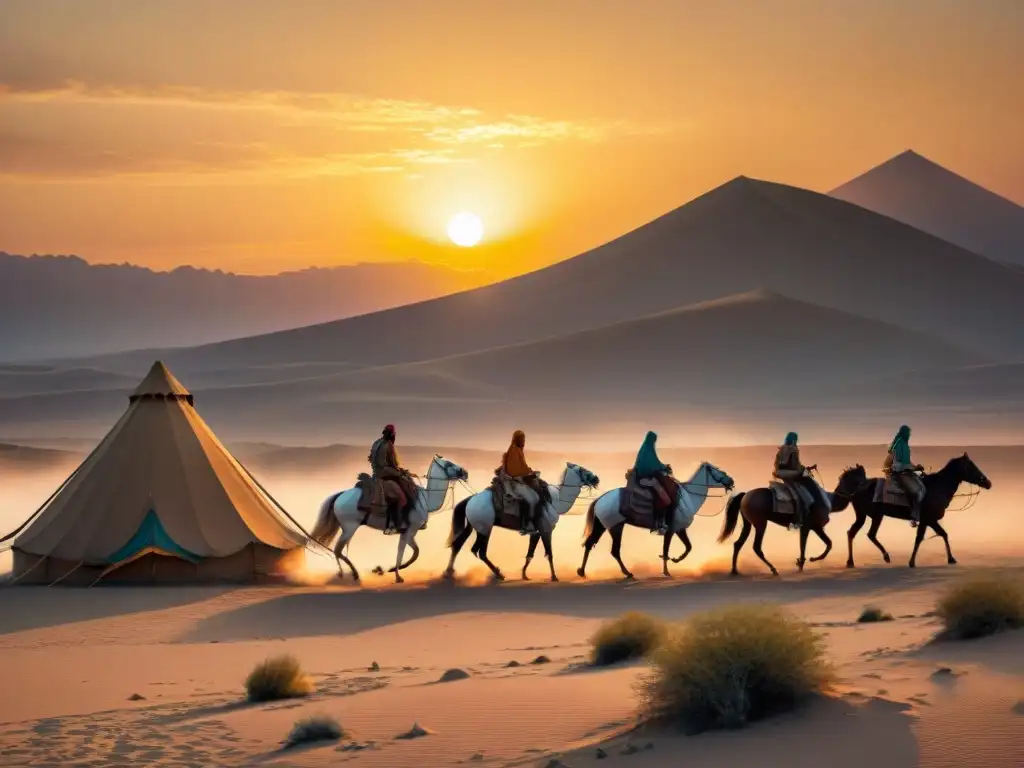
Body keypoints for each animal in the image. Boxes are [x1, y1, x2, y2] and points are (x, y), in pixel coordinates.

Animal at [309, 456, 468, 581]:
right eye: (449, 464)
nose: (465, 472)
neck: (426, 500)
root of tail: (340, 496)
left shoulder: (409, 532)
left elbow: (415, 552)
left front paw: (393, 569)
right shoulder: (410, 529)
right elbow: (401, 552)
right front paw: (398, 576)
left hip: (346, 527)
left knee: (338, 550)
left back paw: (348, 573)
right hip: (350, 527)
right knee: (338, 549)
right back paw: (351, 574)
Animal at [442, 462, 598, 581]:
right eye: (583, 470)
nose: (596, 478)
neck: (555, 500)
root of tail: (470, 500)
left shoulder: (536, 532)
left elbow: (530, 554)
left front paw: (524, 575)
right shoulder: (546, 530)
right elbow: (549, 553)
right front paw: (554, 577)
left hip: (473, 526)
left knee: (458, 545)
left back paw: (448, 573)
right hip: (485, 528)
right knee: (480, 551)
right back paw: (499, 574)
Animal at [577, 462, 737, 581]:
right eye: (718, 470)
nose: (731, 481)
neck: (688, 497)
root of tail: (599, 500)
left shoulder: (680, 529)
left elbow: (688, 547)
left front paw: (676, 560)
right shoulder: (671, 530)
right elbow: (666, 550)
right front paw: (666, 571)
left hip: (602, 526)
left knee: (590, 544)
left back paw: (582, 572)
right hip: (616, 527)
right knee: (614, 551)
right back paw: (627, 573)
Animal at [716, 468, 868, 577]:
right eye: (861, 476)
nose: (868, 484)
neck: (829, 501)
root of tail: (744, 496)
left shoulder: (812, 527)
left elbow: (825, 543)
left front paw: (805, 562)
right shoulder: (811, 525)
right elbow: (817, 544)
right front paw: (805, 562)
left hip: (748, 522)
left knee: (738, 543)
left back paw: (734, 571)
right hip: (760, 522)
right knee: (756, 547)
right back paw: (773, 569)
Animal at [839, 456, 991, 573]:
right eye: (972, 466)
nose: (987, 482)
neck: (938, 487)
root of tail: (858, 486)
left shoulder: (930, 520)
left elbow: (942, 534)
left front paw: (951, 559)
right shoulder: (927, 519)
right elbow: (921, 538)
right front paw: (912, 562)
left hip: (871, 516)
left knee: (862, 533)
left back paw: (872, 558)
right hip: (868, 515)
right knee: (858, 533)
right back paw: (858, 560)